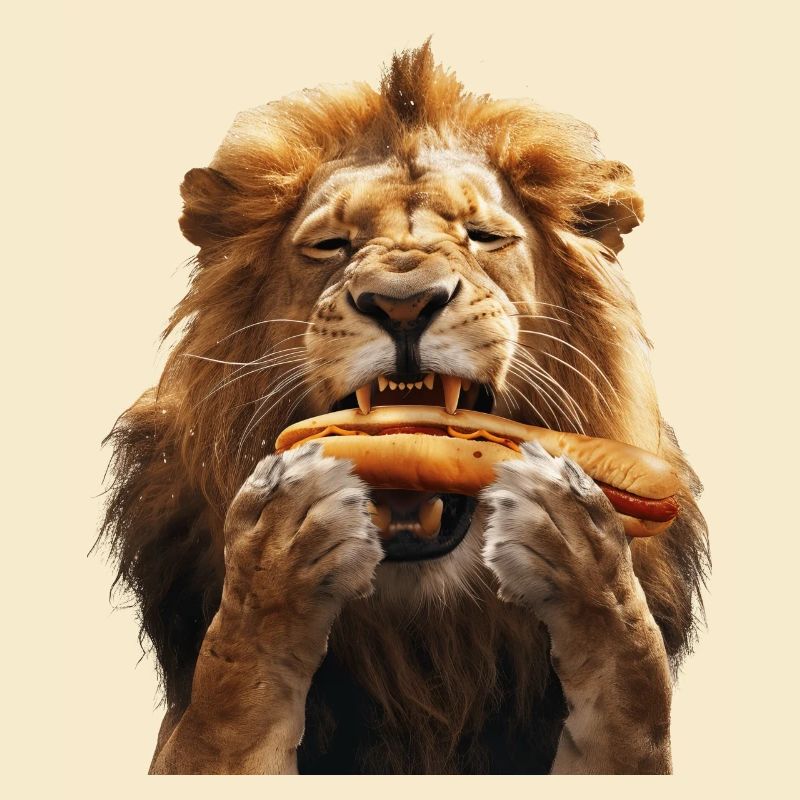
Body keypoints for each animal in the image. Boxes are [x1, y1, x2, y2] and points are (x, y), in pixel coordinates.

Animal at [99, 41, 709, 774]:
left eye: (484, 236)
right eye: (330, 245)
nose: (403, 304)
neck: (424, 645)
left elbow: (631, 685)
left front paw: (586, 561)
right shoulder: (197, 734)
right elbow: (231, 699)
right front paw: (274, 567)